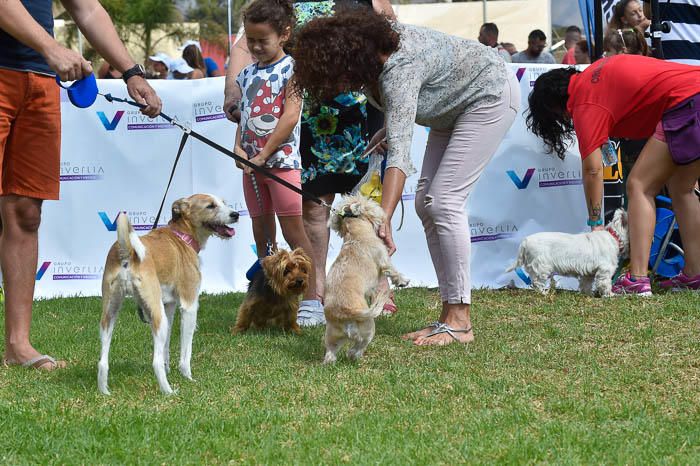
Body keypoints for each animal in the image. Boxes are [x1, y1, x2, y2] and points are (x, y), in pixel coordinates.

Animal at [97, 193, 241, 394]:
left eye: (224, 203)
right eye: (210, 206)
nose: (235, 215)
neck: (182, 236)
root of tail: (128, 252)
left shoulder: (169, 306)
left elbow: (166, 346)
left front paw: (169, 369)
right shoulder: (189, 306)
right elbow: (186, 350)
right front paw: (187, 377)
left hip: (111, 313)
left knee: (103, 361)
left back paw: (104, 391)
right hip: (157, 316)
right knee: (155, 362)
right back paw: (168, 392)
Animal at [322, 193, 410, 364]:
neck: (355, 234)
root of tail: (346, 313)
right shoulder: (384, 259)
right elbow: (392, 271)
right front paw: (403, 281)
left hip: (332, 335)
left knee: (330, 352)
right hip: (368, 328)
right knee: (357, 347)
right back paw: (356, 356)